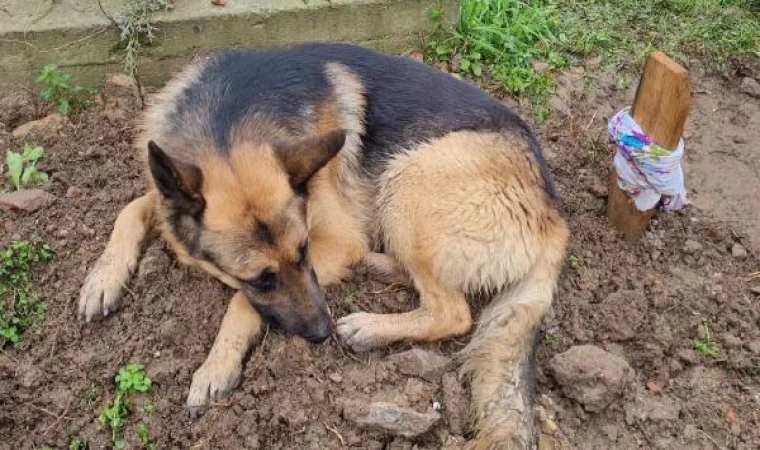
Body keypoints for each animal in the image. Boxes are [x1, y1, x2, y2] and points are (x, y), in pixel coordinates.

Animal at [78, 41, 564, 446]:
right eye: (262, 278)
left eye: (304, 253)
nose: (321, 333)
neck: (226, 119)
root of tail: (556, 220)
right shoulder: (168, 197)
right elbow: (129, 210)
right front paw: (101, 279)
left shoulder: (338, 243)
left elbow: (239, 303)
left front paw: (216, 366)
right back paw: (379, 266)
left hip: (410, 178)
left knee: (453, 312)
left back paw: (369, 326)